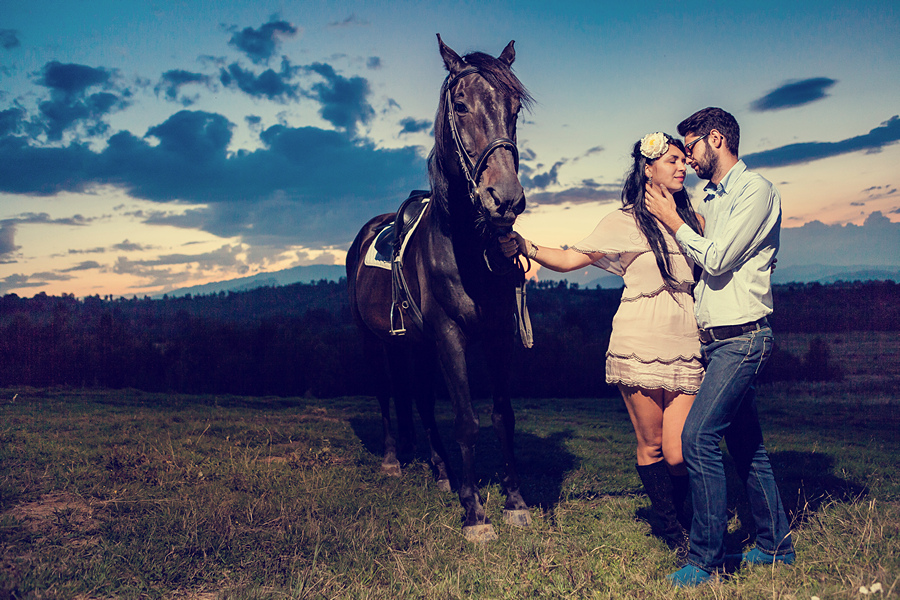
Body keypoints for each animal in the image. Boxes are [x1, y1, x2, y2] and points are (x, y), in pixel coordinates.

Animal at [346, 36, 536, 544]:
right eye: (461, 104)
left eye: (514, 108)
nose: (505, 199)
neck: (465, 250)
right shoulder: (450, 337)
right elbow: (467, 421)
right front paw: (475, 514)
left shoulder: (498, 336)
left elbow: (501, 416)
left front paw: (514, 502)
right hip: (371, 341)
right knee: (386, 393)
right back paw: (393, 460)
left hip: (418, 344)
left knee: (422, 401)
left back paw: (440, 472)